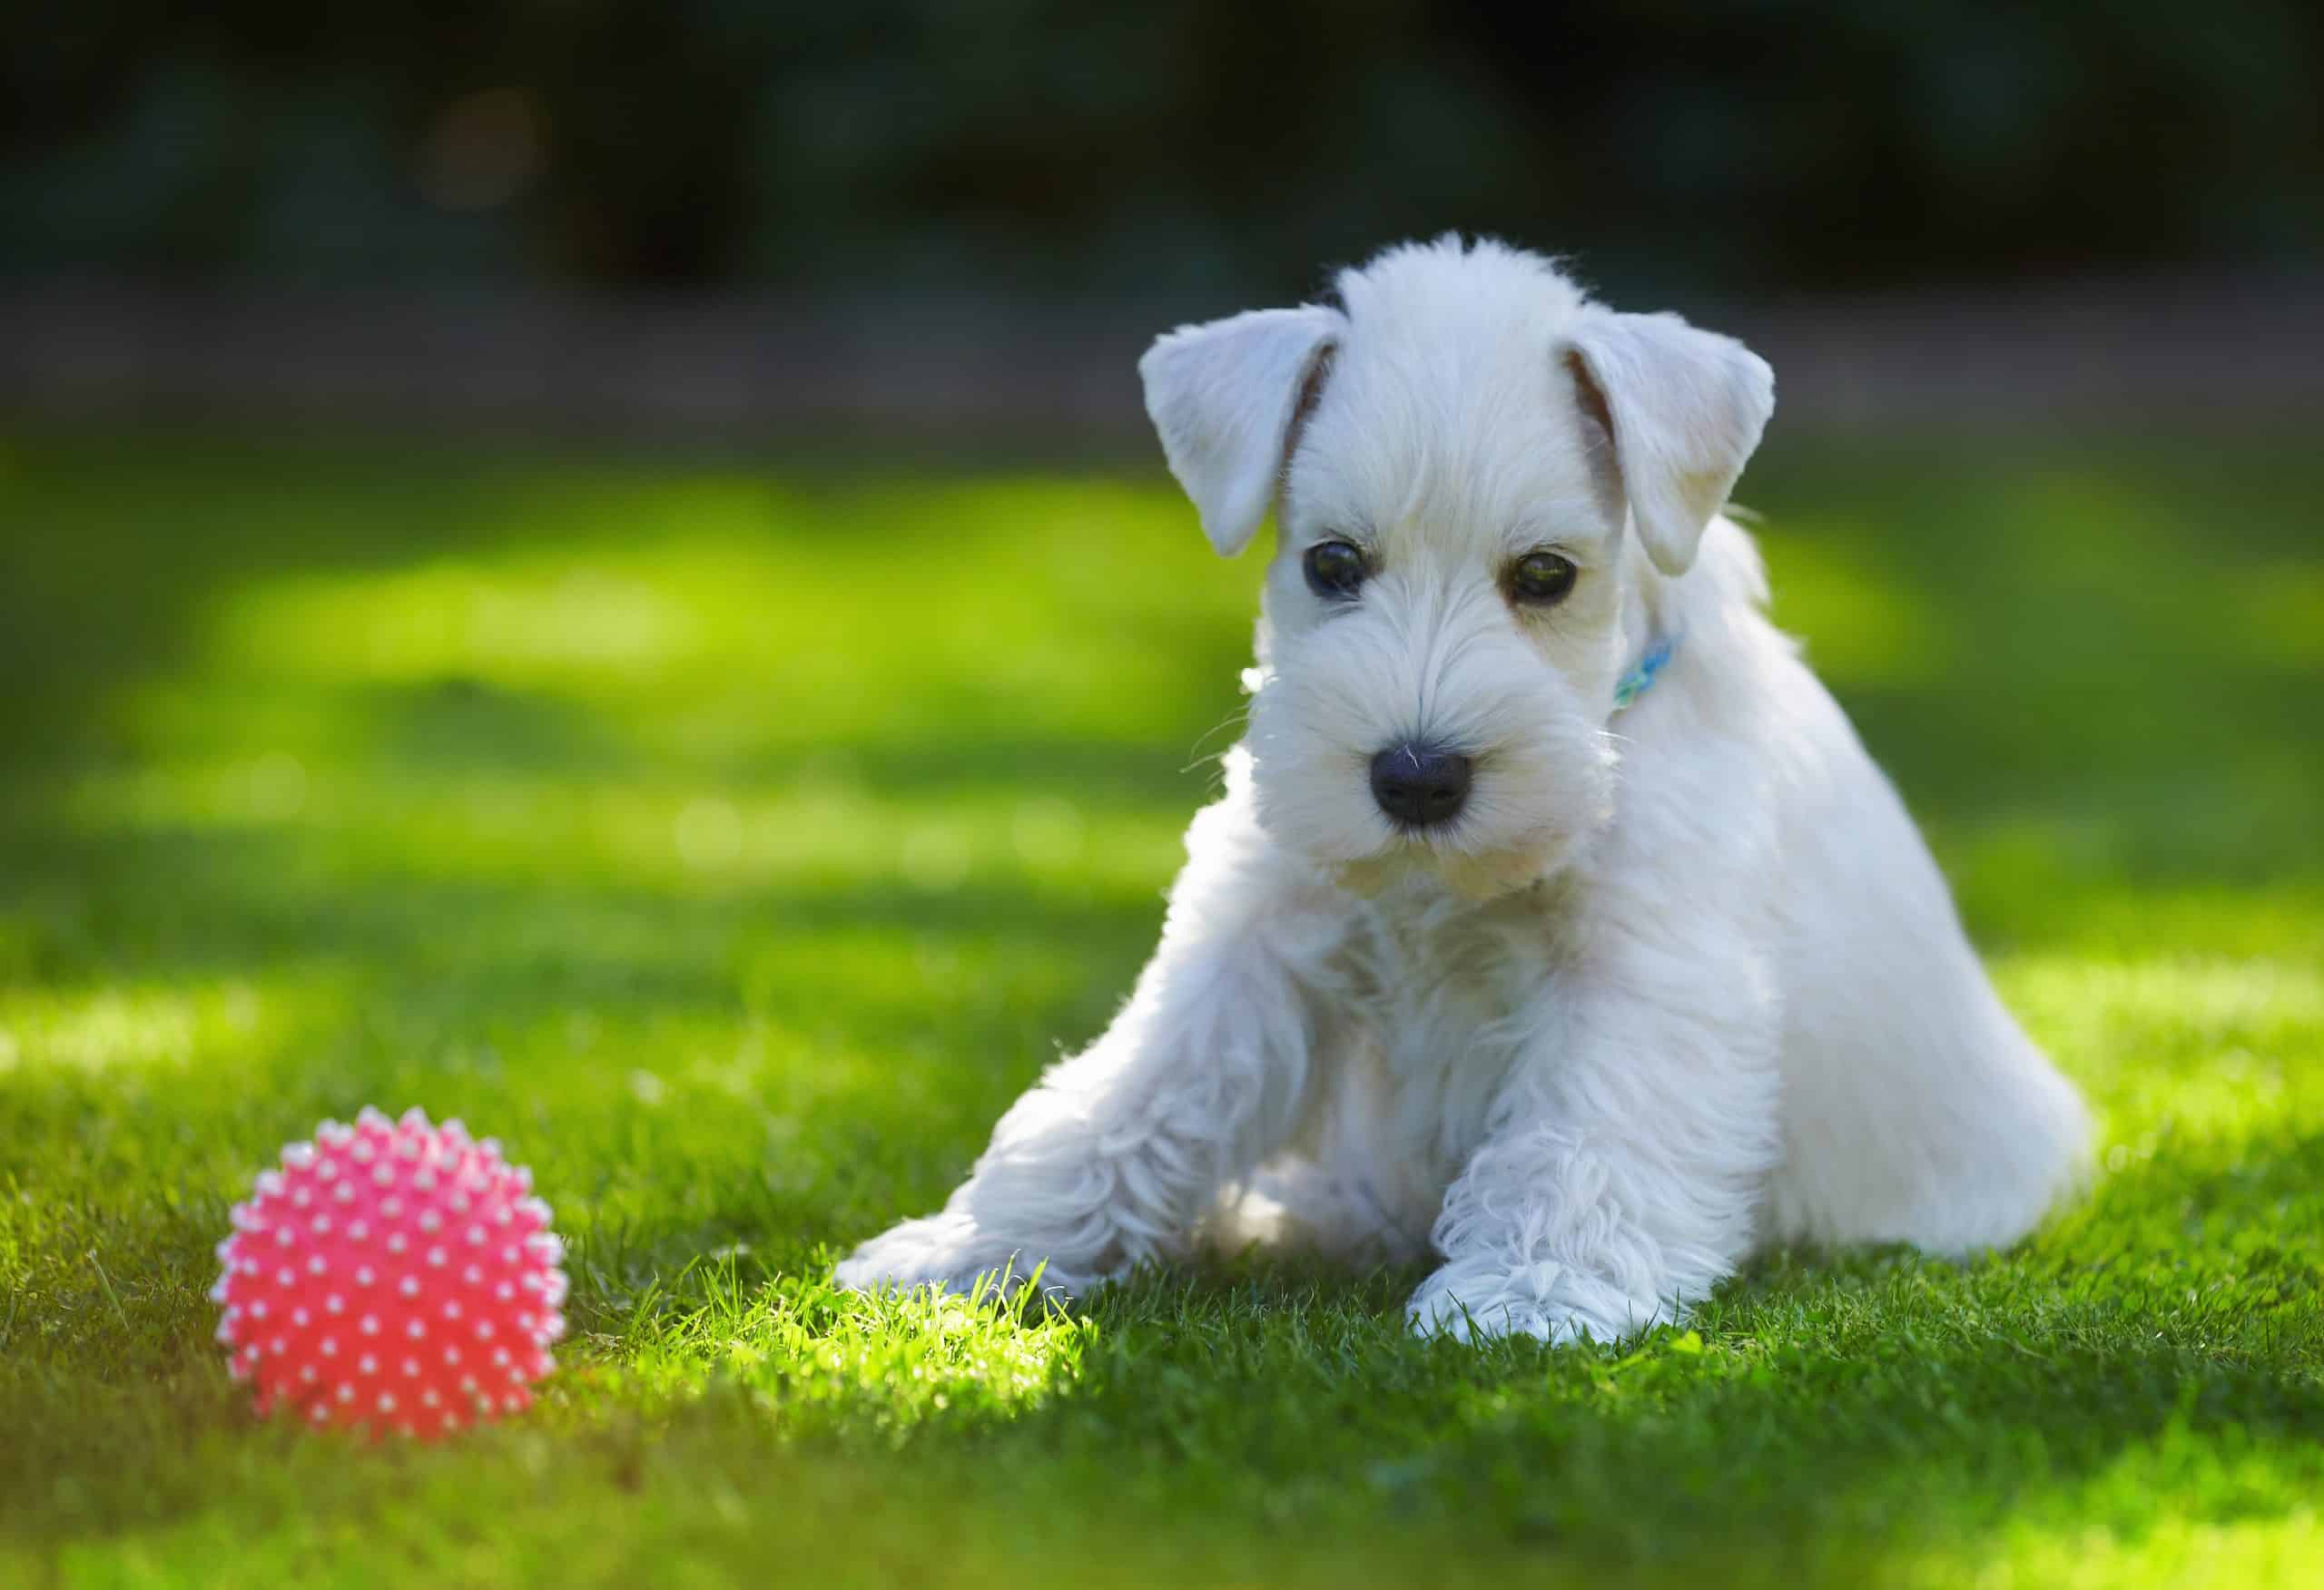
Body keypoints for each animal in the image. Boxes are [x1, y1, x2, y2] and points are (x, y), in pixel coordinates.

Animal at [836, 230, 2092, 1339]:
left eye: (1546, 575)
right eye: (1331, 563)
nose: (1415, 777)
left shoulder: (1638, 971)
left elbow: (1581, 1136)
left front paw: (1531, 1299)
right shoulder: (1255, 935)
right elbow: (1131, 1094)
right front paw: (967, 1253)